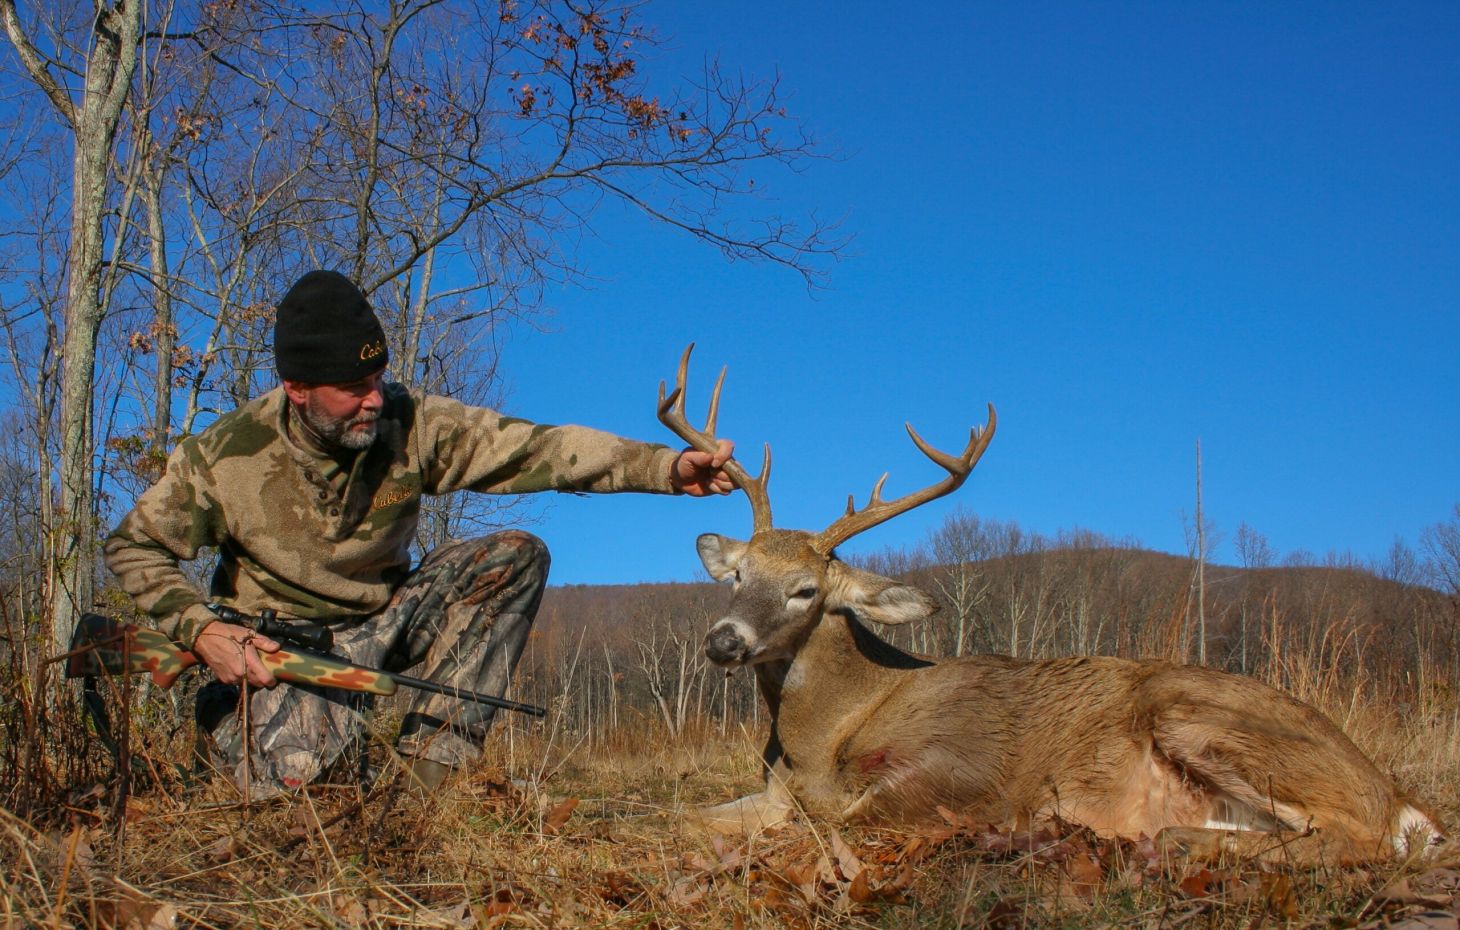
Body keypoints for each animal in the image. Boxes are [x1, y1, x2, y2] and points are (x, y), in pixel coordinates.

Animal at [657, 345, 1443, 864]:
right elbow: (689, 816)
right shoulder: (772, 791)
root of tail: (1404, 800)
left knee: (1353, 839)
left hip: (1202, 715)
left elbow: (839, 822)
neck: (823, 738)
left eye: (807, 590)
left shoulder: (965, 764)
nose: (724, 642)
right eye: (737, 574)